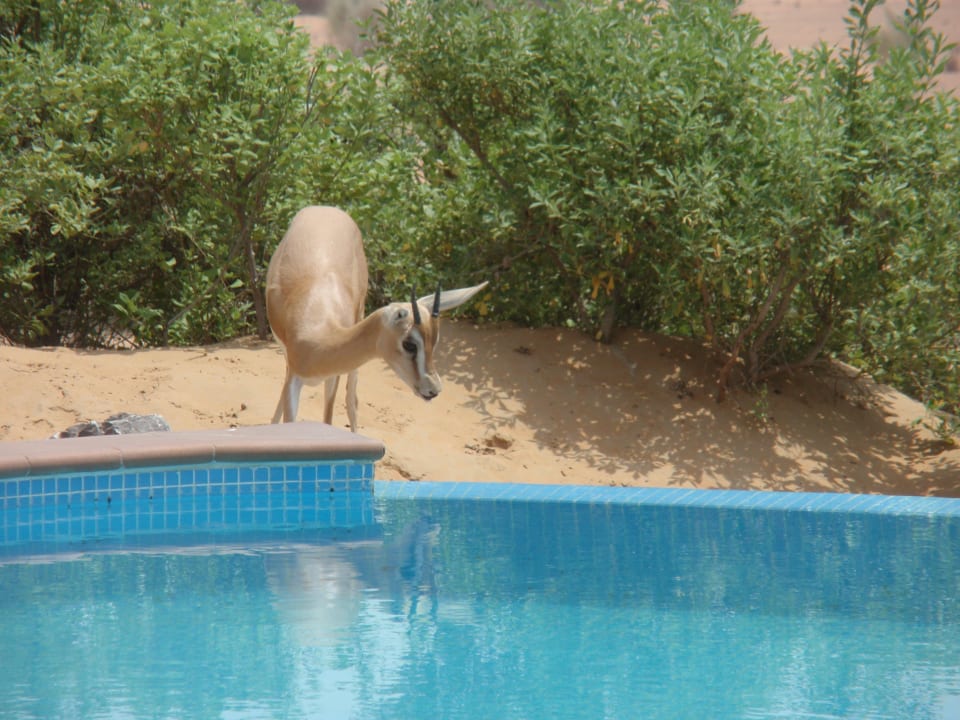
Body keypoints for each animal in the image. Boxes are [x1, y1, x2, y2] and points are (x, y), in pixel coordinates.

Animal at [265, 205, 488, 432]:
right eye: (409, 344)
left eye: (435, 341)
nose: (433, 389)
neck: (319, 336)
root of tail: (326, 209)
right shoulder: (295, 378)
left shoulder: (332, 376)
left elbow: (329, 418)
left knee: (352, 400)